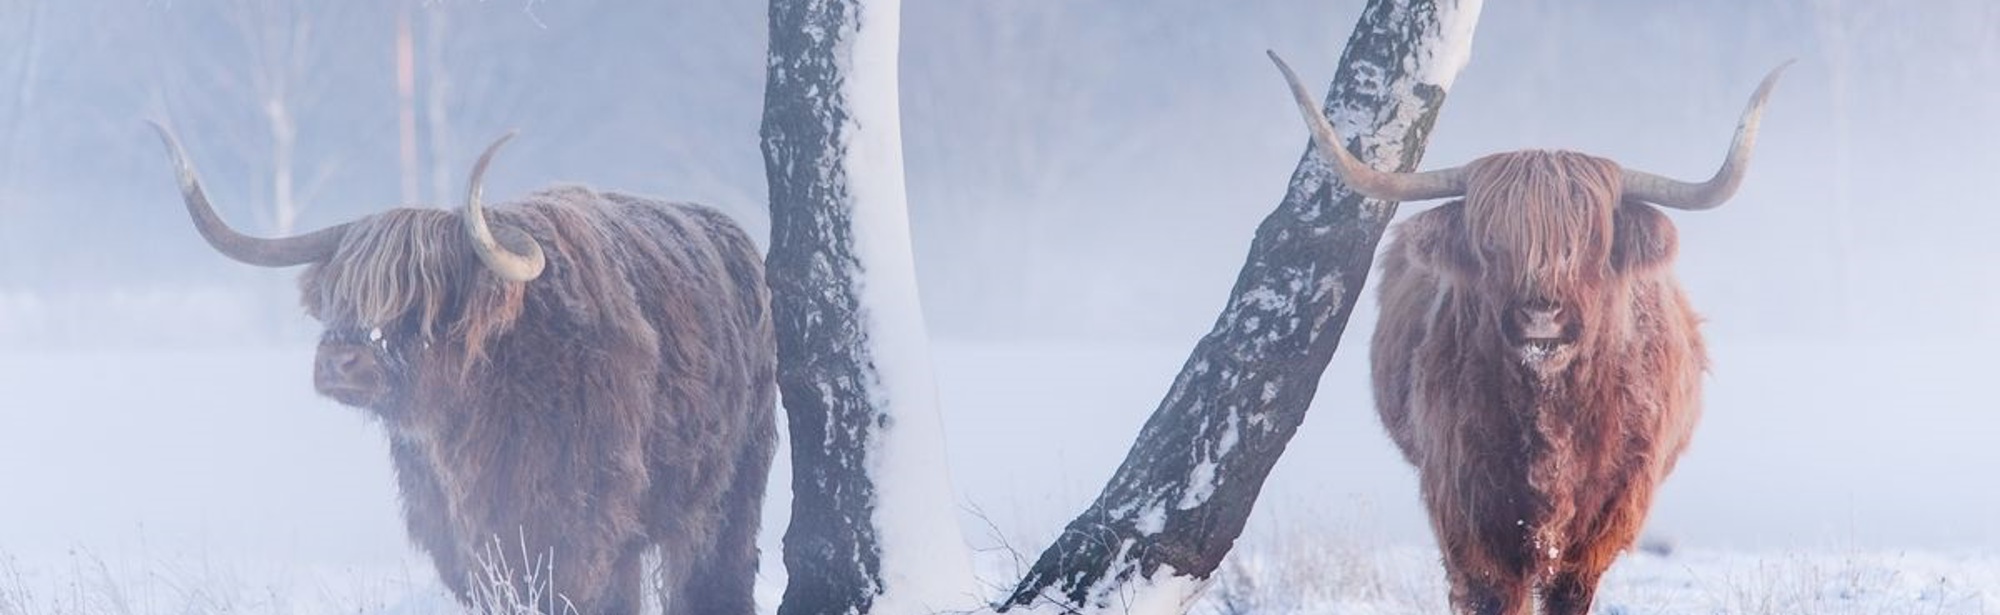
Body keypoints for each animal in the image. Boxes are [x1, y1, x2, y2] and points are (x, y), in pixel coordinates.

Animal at [146, 126, 772, 615]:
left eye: (422, 300)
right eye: (338, 295)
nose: (341, 361)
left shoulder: (578, 528)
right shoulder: (459, 540)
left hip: (726, 493)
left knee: (715, 575)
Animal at [1272, 54, 1792, 615]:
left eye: (1592, 241)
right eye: (1491, 241)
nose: (1542, 312)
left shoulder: (1603, 520)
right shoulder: (1469, 508)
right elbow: (1493, 593)